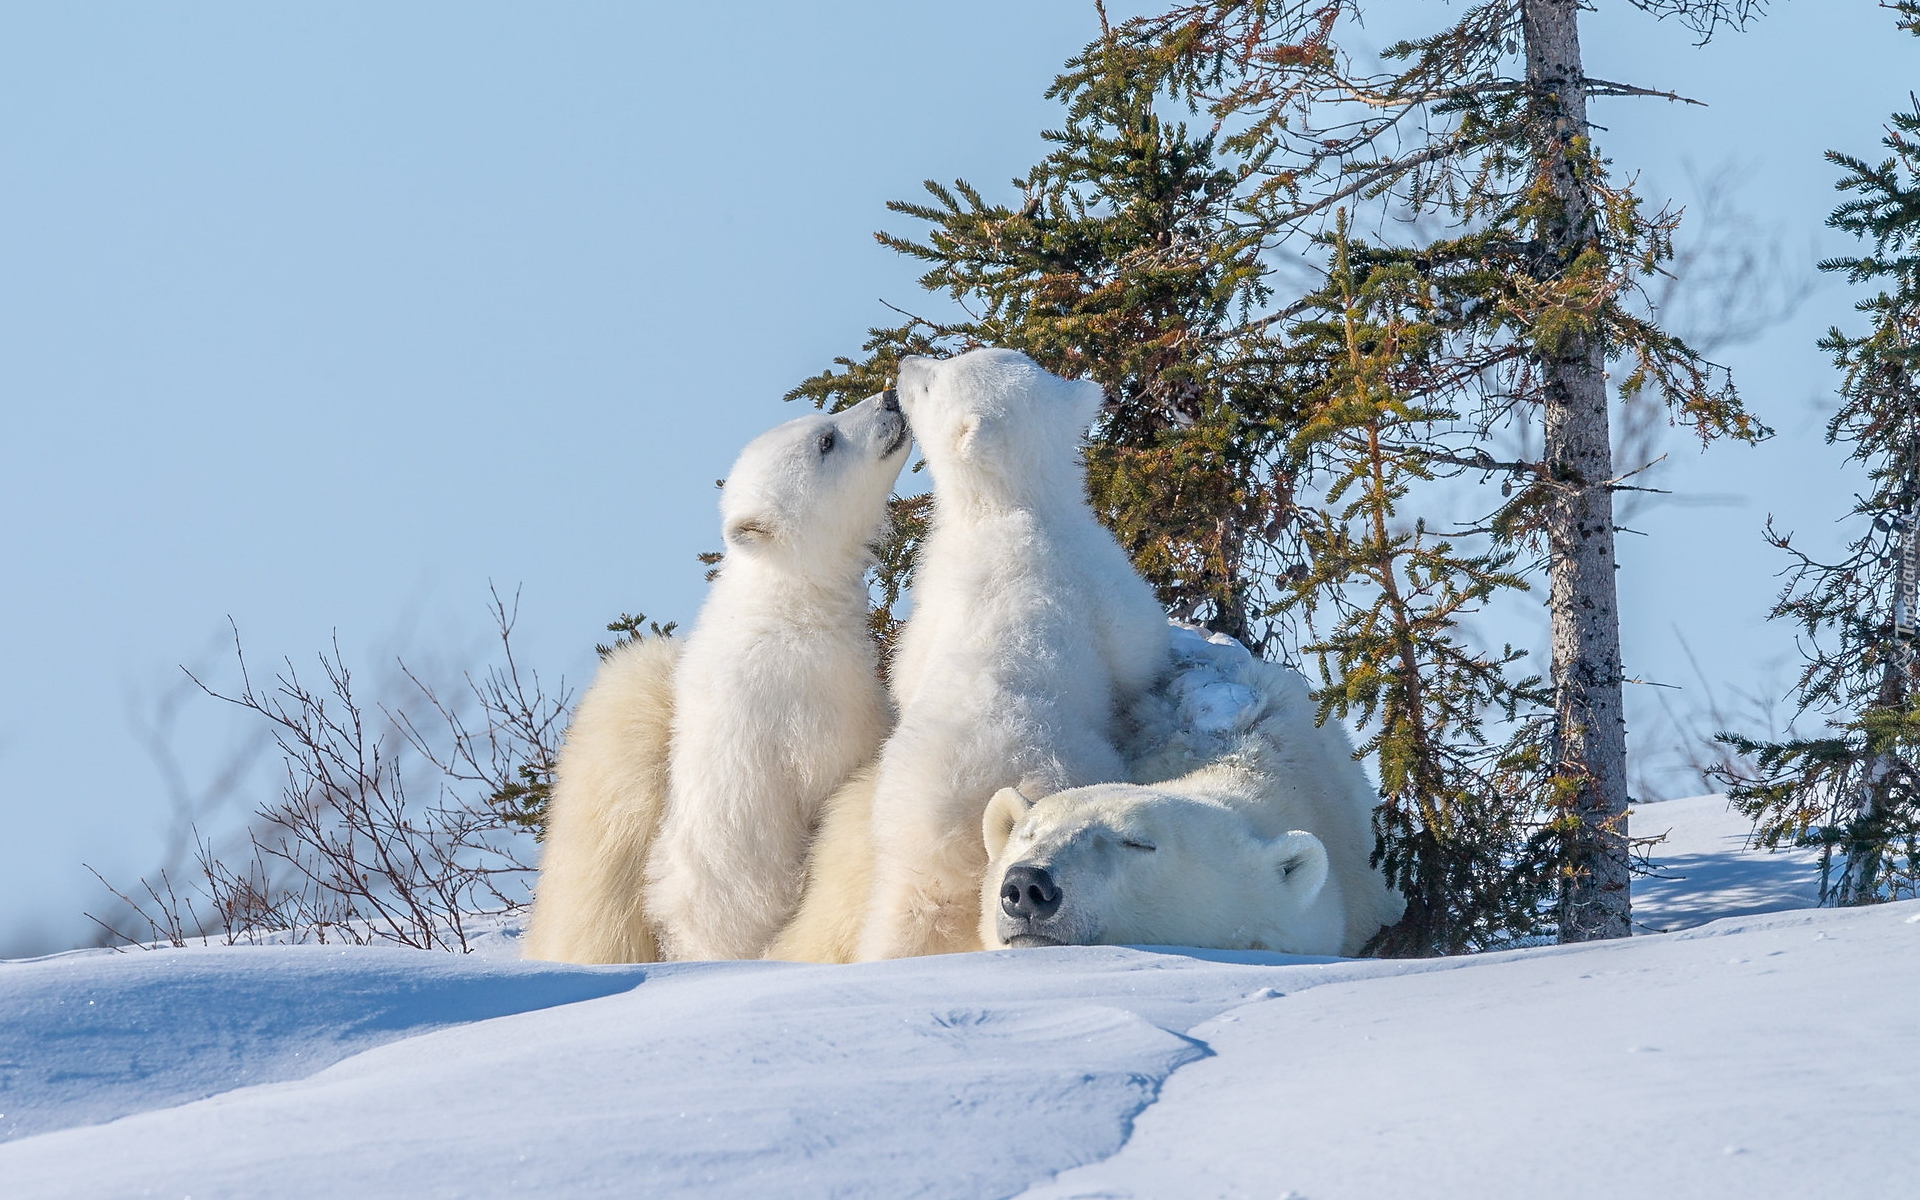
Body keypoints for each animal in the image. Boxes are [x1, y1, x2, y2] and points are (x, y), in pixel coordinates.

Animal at [522, 393, 910, 963]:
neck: (786, 596)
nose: (889, 397)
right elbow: (844, 765)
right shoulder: (813, 693)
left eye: (826, 423)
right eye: (826, 441)